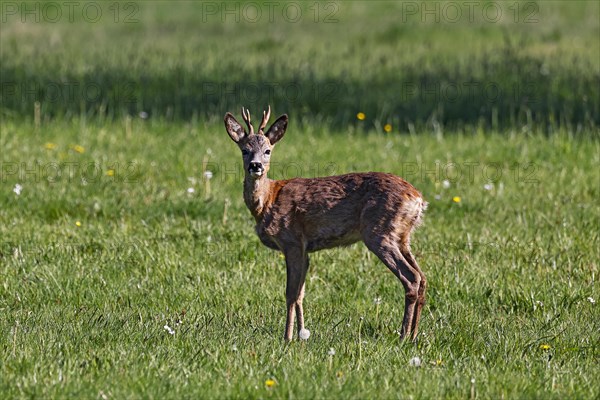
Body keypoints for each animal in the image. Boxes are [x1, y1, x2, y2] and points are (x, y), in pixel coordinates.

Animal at [224, 106, 426, 340]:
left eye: (267, 151)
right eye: (244, 150)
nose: (255, 166)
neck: (267, 201)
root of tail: (418, 198)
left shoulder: (292, 241)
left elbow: (290, 293)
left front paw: (287, 337)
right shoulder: (305, 250)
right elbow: (300, 294)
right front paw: (301, 335)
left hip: (379, 231)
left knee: (411, 277)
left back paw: (403, 336)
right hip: (402, 236)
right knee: (422, 277)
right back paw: (414, 335)